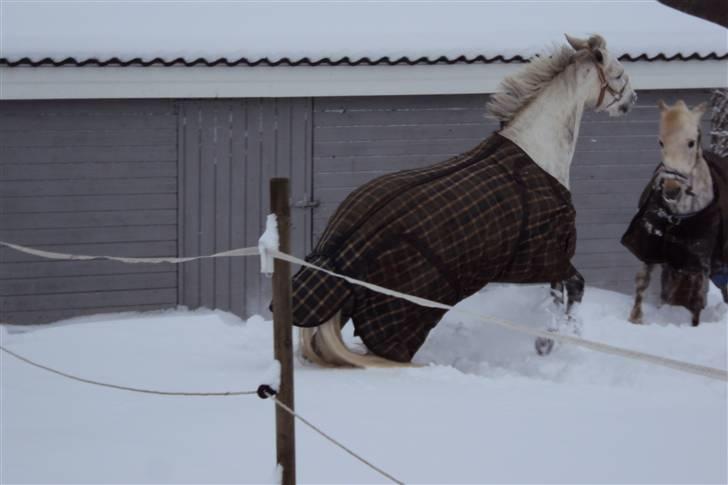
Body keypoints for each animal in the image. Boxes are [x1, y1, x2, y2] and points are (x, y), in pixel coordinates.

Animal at [292, 34, 637, 367]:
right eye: (618, 73)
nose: (632, 100)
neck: (537, 152)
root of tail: (335, 256)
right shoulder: (549, 254)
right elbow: (574, 287)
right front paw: (550, 342)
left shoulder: (545, 260)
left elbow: (558, 292)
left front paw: (547, 342)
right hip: (403, 318)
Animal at [624, 100, 728, 326]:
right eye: (661, 142)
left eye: (691, 142)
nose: (671, 189)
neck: (680, 216)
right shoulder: (650, 247)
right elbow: (642, 281)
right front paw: (635, 319)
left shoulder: (699, 261)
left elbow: (697, 298)